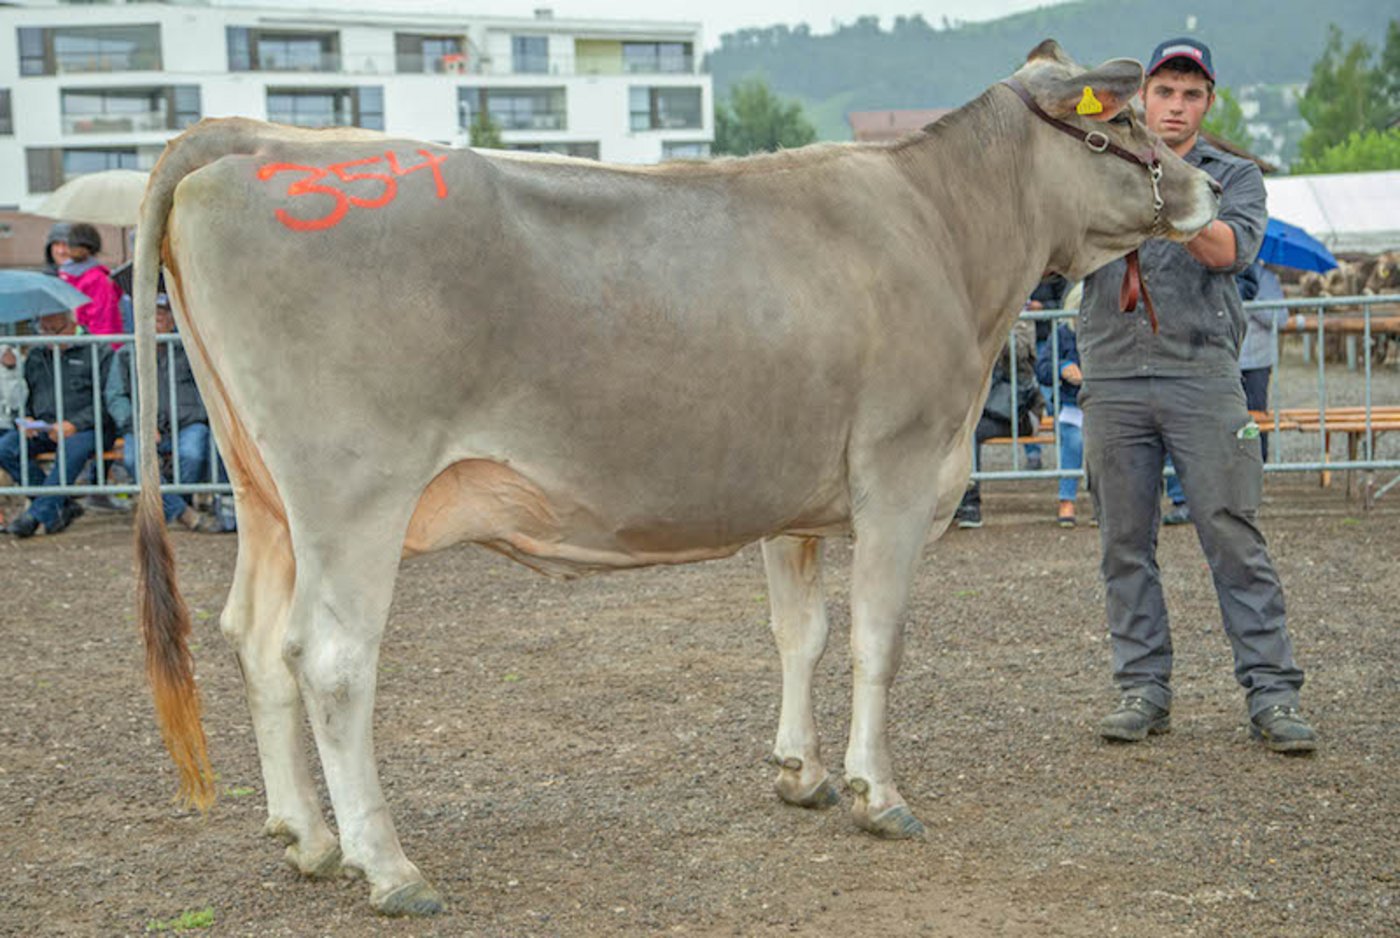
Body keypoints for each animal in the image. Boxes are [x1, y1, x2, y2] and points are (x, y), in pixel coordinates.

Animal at [133, 40, 1217, 915]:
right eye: (1124, 123)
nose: (1204, 191)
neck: (943, 232)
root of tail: (246, 140)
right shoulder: (899, 472)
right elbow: (877, 640)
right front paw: (878, 793)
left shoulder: (796, 500)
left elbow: (802, 633)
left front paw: (801, 772)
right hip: (353, 492)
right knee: (330, 659)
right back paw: (387, 865)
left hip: (264, 493)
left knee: (255, 637)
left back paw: (306, 838)